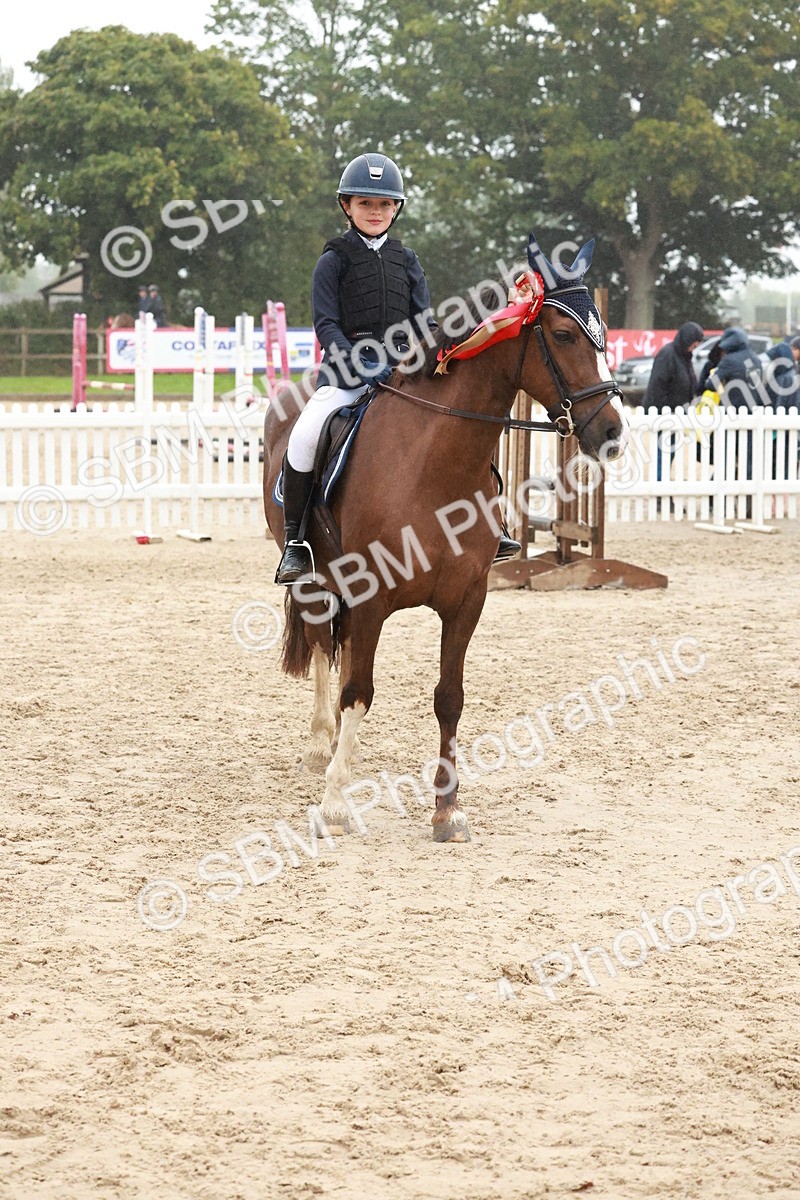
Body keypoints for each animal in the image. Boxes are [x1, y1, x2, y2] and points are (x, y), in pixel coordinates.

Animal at [262, 233, 629, 843]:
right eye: (563, 335)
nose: (613, 431)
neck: (434, 465)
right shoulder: (370, 598)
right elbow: (358, 690)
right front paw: (334, 804)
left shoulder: (467, 599)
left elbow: (448, 698)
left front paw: (447, 809)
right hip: (312, 578)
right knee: (320, 646)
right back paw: (320, 745)